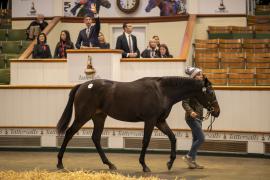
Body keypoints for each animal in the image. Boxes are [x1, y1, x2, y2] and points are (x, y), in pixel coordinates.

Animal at [56, 76, 219, 172]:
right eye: (211, 92)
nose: (217, 111)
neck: (162, 92)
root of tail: (83, 85)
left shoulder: (160, 121)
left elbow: (173, 138)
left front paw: (170, 163)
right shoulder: (150, 120)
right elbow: (145, 141)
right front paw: (144, 165)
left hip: (99, 117)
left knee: (95, 138)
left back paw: (110, 164)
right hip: (83, 116)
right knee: (69, 133)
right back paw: (59, 163)